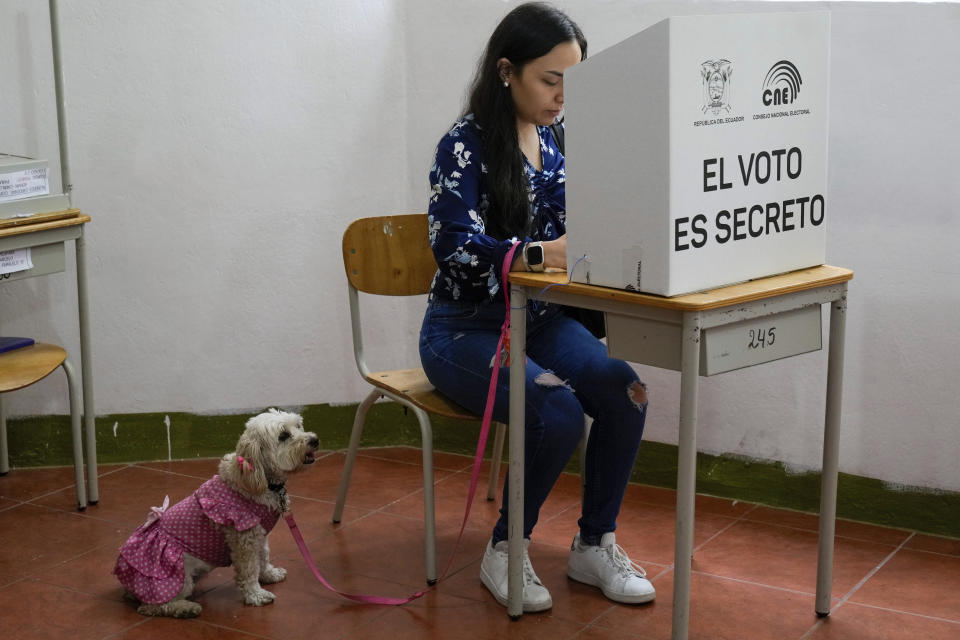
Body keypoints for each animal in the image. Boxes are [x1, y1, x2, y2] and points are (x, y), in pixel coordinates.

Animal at [113, 408, 318, 616]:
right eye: (283, 435)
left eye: (298, 426)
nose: (314, 440)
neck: (258, 481)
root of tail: (126, 586)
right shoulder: (244, 538)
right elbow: (250, 569)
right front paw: (256, 594)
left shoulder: (258, 534)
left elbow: (263, 556)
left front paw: (269, 574)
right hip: (176, 577)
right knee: (153, 606)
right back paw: (186, 608)